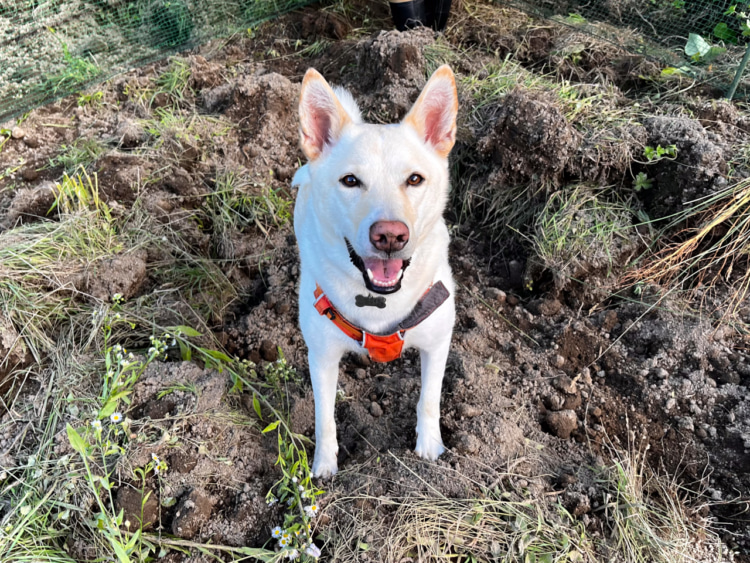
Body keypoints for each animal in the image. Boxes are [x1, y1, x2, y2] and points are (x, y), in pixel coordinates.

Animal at [294, 64, 458, 478]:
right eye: (351, 181)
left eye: (414, 179)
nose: (390, 236)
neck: (380, 303)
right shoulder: (321, 356)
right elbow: (324, 418)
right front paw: (325, 466)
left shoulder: (437, 341)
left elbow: (428, 400)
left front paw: (429, 449)